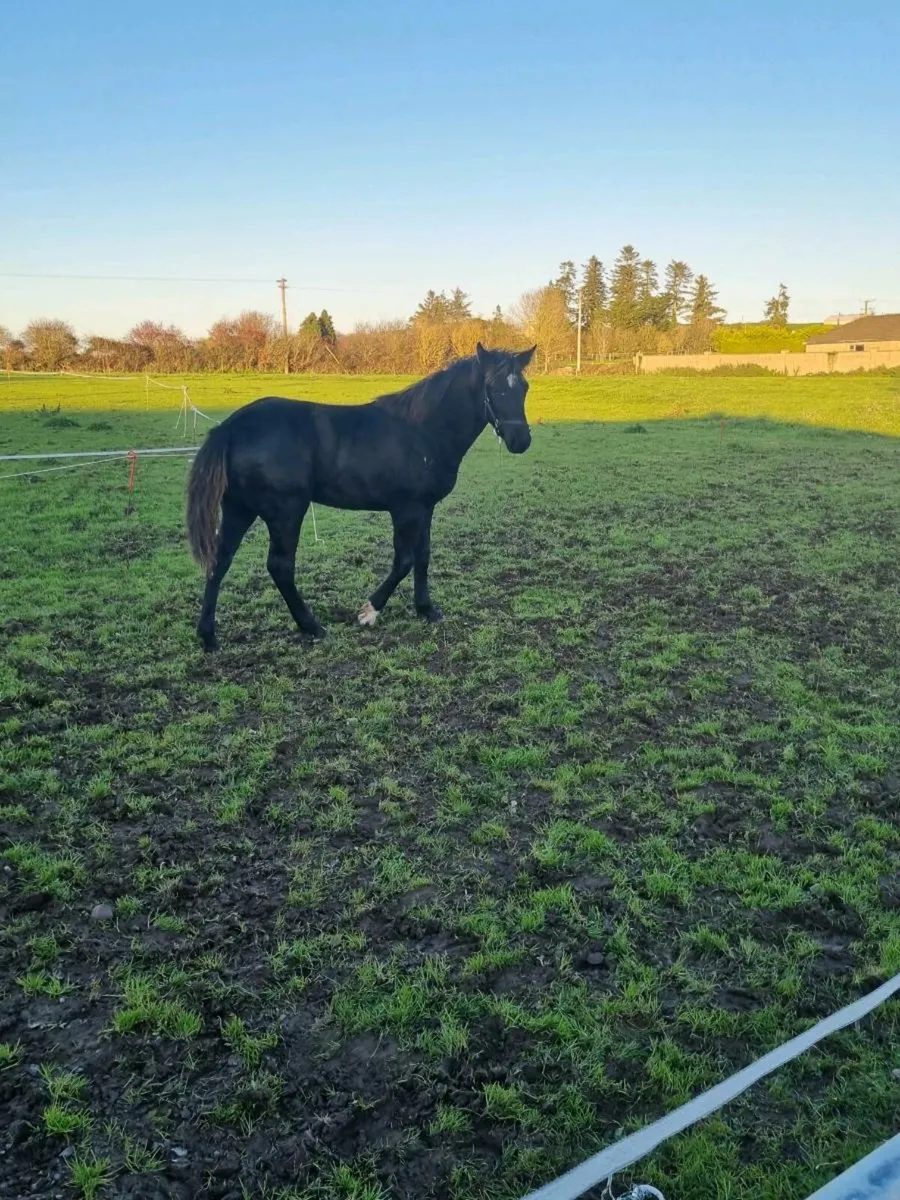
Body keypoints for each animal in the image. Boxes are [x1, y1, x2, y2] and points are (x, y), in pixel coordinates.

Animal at [185, 342, 536, 650]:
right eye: (493, 387)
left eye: (524, 387)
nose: (520, 440)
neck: (422, 432)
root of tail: (231, 428)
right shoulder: (405, 509)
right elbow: (404, 560)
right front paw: (369, 612)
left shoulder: (425, 508)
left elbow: (423, 556)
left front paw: (426, 609)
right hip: (286, 511)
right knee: (280, 566)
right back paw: (312, 627)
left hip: (239, 509)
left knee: (220, 561)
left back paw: (208, 636)